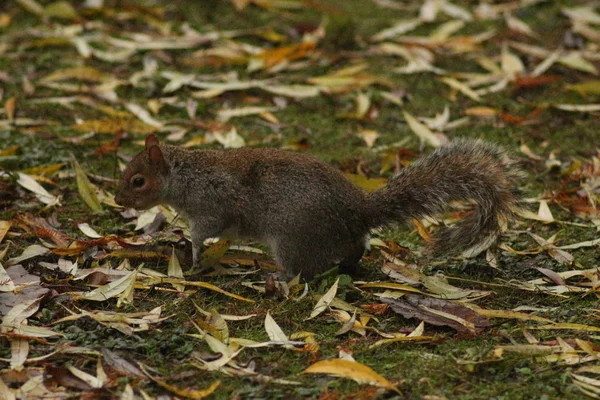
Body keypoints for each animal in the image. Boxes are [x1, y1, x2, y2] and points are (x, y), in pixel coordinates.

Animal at [113, 134, 520, 278]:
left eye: (138, 181)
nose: (118, 200)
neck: (187, 175)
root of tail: (359, 211)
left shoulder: (213, 205)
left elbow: (204, 232)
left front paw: (194, 254)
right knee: (356, 248)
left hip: (293, 240)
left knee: (305, 270)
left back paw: (278, 277)